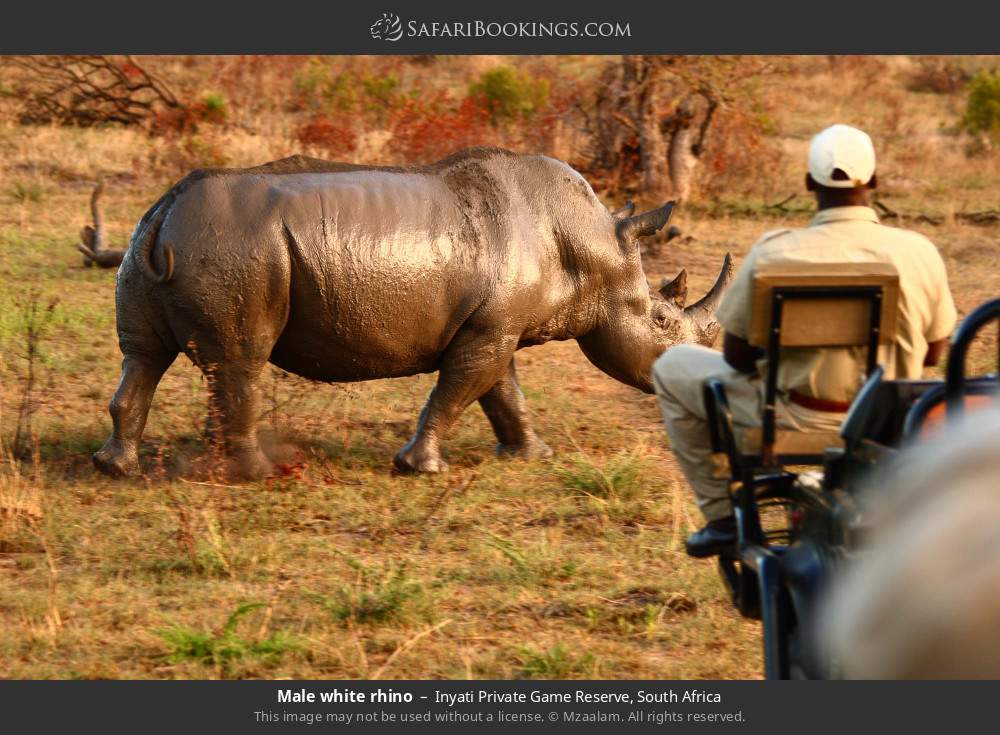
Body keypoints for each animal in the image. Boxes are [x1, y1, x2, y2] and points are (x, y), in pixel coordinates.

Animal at [93, 147, 732, 478]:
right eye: (663, 323)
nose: (701, 389)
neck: (593, 249)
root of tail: (165, 211)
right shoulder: (491, 329)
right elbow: (459, 390)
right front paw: (420, 468)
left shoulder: (497, 325)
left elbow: (503, 392)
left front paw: (531, 456)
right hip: (239, 249)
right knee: (240, 362)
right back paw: (254, 473)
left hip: (151, 244)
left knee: (146, 358)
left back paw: (120, 467)